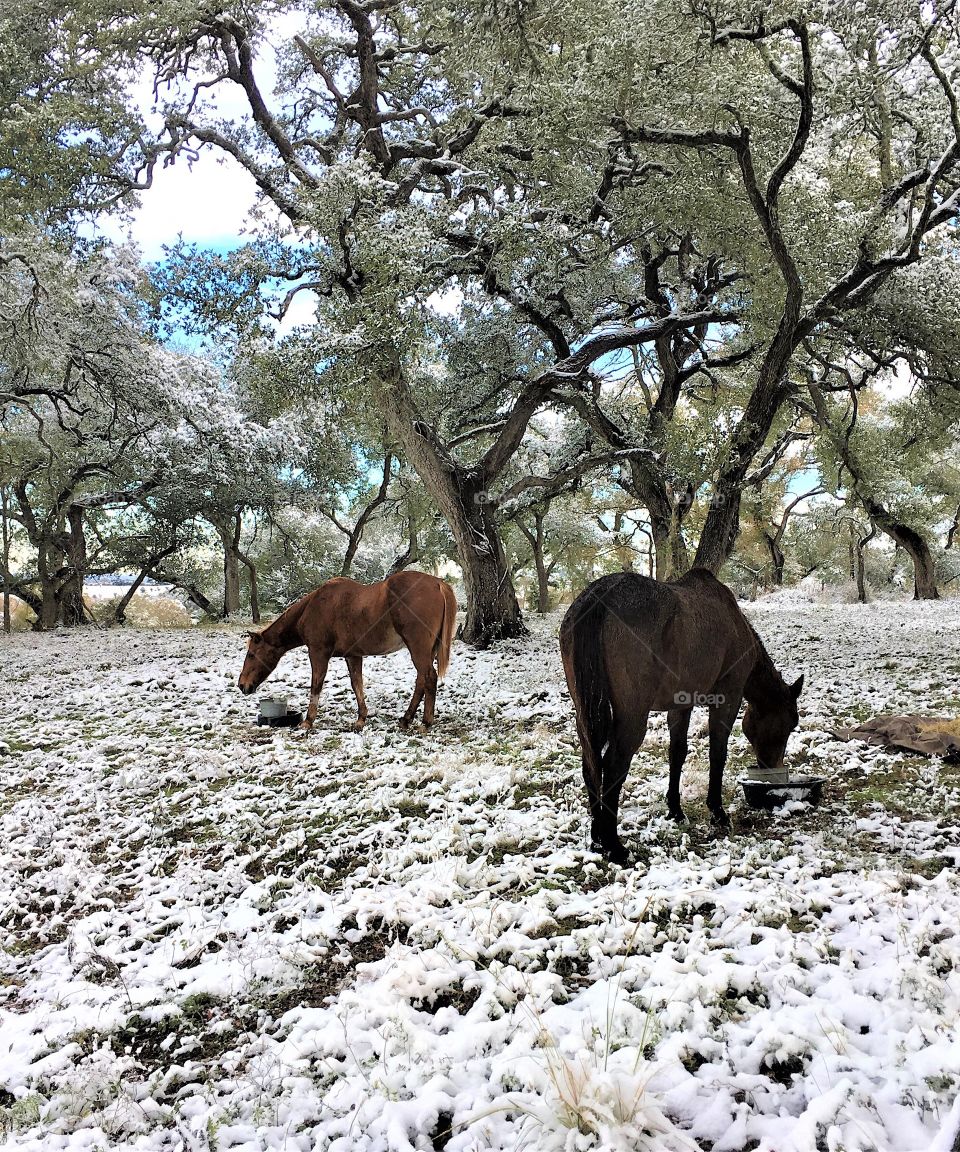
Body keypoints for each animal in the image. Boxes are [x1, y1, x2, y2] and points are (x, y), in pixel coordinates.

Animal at [238, 571, 458, 731]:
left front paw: (308, 721)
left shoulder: (318, 653)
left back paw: (425, 723)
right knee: (421, 680)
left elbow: (316, 686)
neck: (314, 607)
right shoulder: (353, 656)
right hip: (426, 651)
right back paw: (406, 719)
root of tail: (438, 583)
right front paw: (361, 719)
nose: (242, 685)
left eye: (251, 654)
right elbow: (356, 684)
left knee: (428, 678)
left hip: (418, 649)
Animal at [559, 568, 803, 864]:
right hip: (632, 717)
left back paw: (597, 839)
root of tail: (599, 596)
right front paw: (717, 811)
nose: (772, 766)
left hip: (584, 713)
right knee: (614, 766)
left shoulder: (680, 705)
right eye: (790, 724)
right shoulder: (728, 697)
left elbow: (677, 753)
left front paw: (675, 810)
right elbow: (717, 753)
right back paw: (614, 846)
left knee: (590, 763)